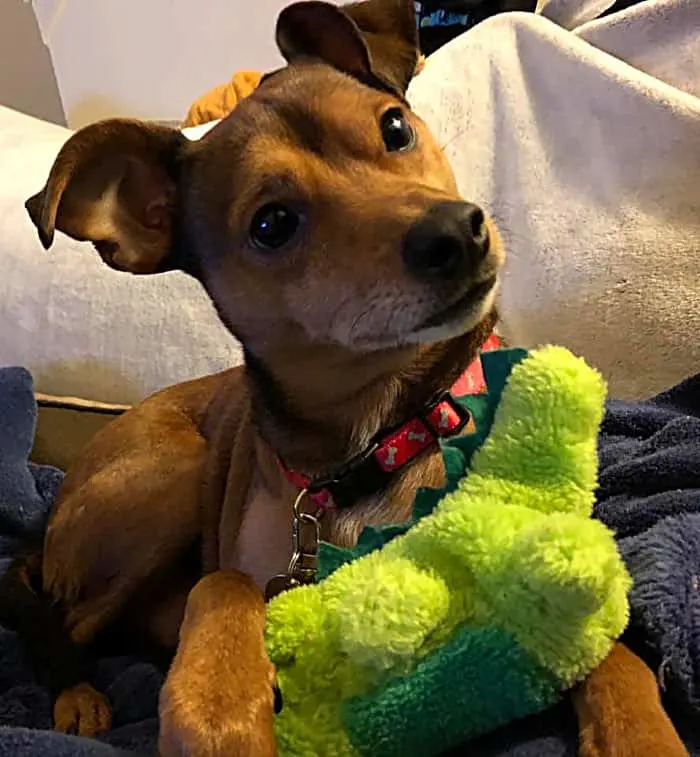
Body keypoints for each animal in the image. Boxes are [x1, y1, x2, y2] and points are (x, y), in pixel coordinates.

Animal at [8, 1, 688, 756]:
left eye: (394, 127)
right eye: (272, 224)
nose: (460, 232)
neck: (385, 434)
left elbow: (616, 652)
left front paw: (642, 734)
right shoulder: (263, 570)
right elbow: (225, 583)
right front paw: (219, 708)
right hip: (168, 478)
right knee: (63, 616)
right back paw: (77, 694)